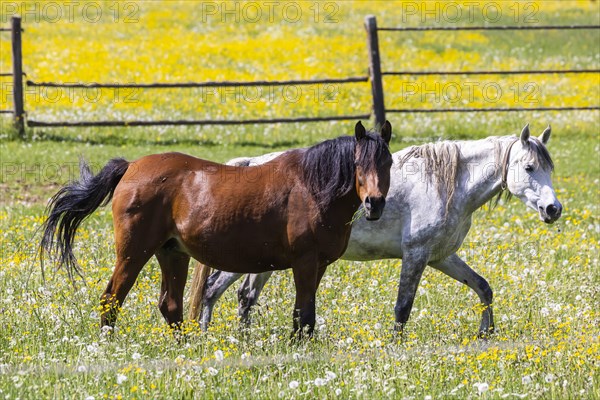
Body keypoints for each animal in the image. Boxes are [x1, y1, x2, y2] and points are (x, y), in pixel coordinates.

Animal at [39, 122, 392, 338]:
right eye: (358, 164)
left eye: (387, 163)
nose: (375, 203)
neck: (311, 188)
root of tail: (131, 167)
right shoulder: (304, 263)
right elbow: (304, 313)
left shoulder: (318, 266)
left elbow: (304, 314)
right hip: (133, 254)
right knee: (111, 298)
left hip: (172, 254)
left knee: (170, 304)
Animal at [190, 123, 560, 336]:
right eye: (529, 167)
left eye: (549, 168)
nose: (553, 209)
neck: (445, 183)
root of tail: (249, 166)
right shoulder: (416, 255)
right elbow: (402, 307)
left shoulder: (440, 257)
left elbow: (483, 288)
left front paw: (486, 333)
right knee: (214, 291)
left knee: (241, 297)